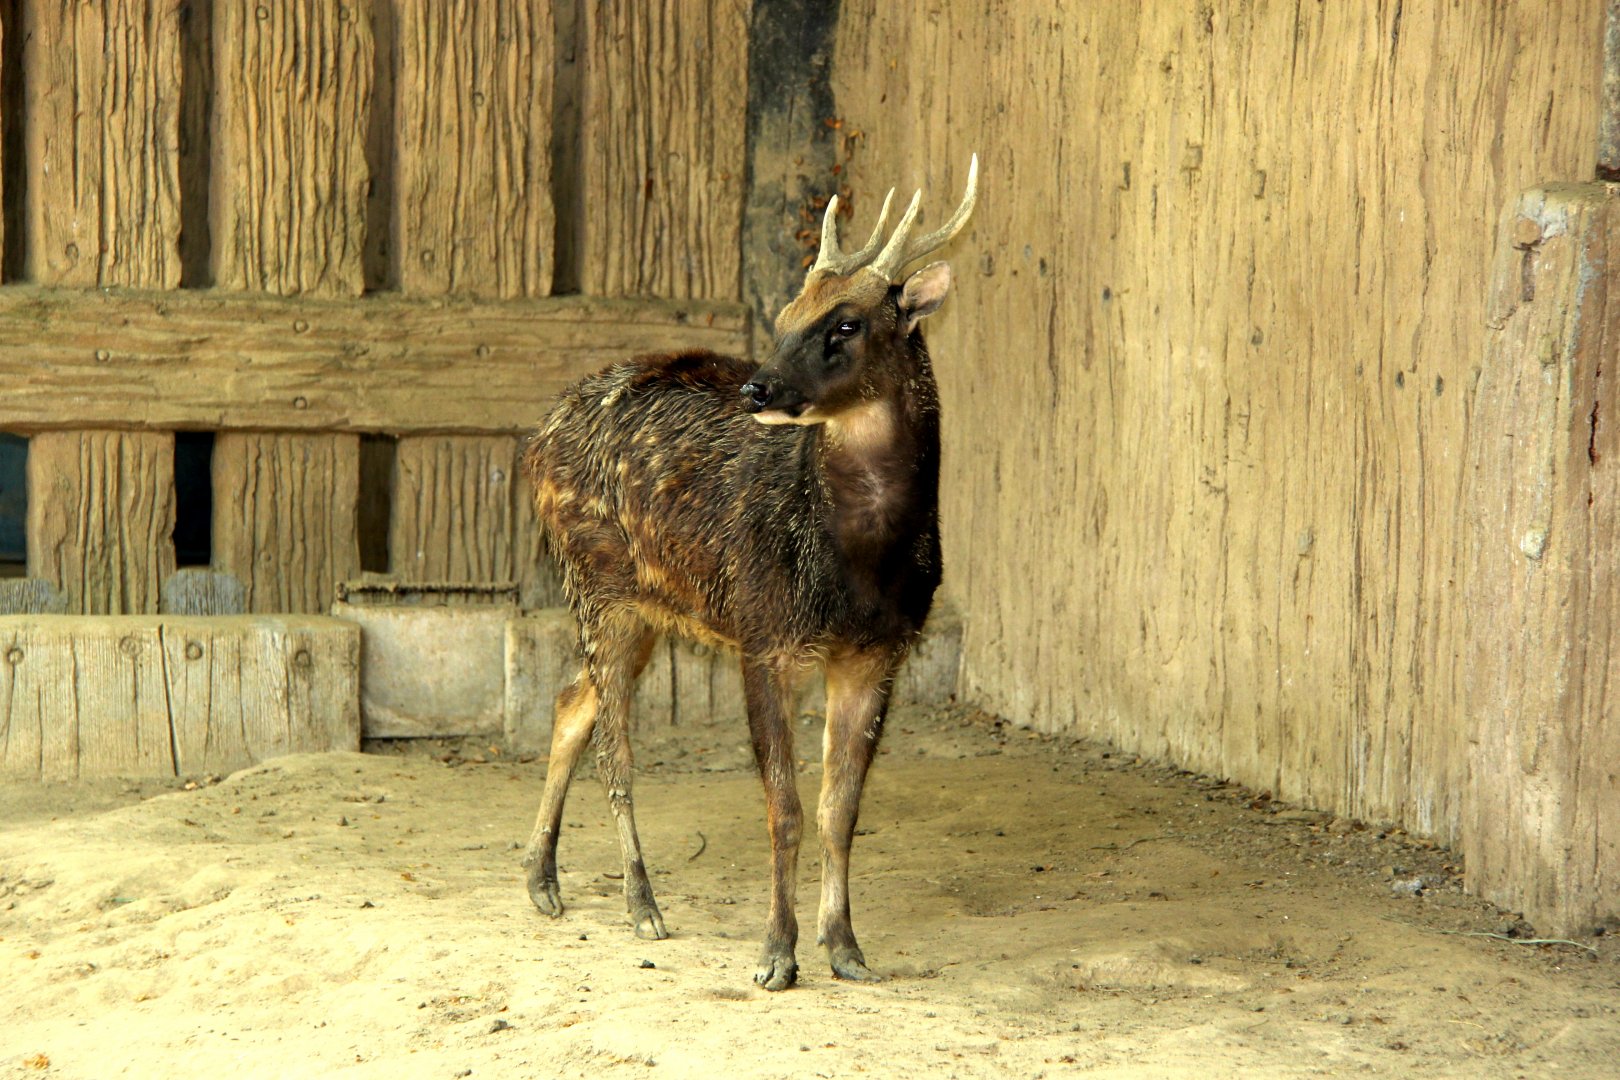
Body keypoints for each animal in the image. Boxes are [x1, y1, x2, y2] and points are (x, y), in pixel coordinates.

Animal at [520, 156, 978, 991]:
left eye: (846, 323)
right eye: (790, 310)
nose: (758, 387)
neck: (856, 564)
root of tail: (535, 439)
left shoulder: (879, 651)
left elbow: (840, 809)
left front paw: (847, 947)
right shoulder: (764, 635)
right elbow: (784, 806)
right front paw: (776, 954)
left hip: (644, 605)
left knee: (571, 703)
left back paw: (542, 878)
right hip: (594, 580)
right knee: (614, 748)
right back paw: (641, 903)